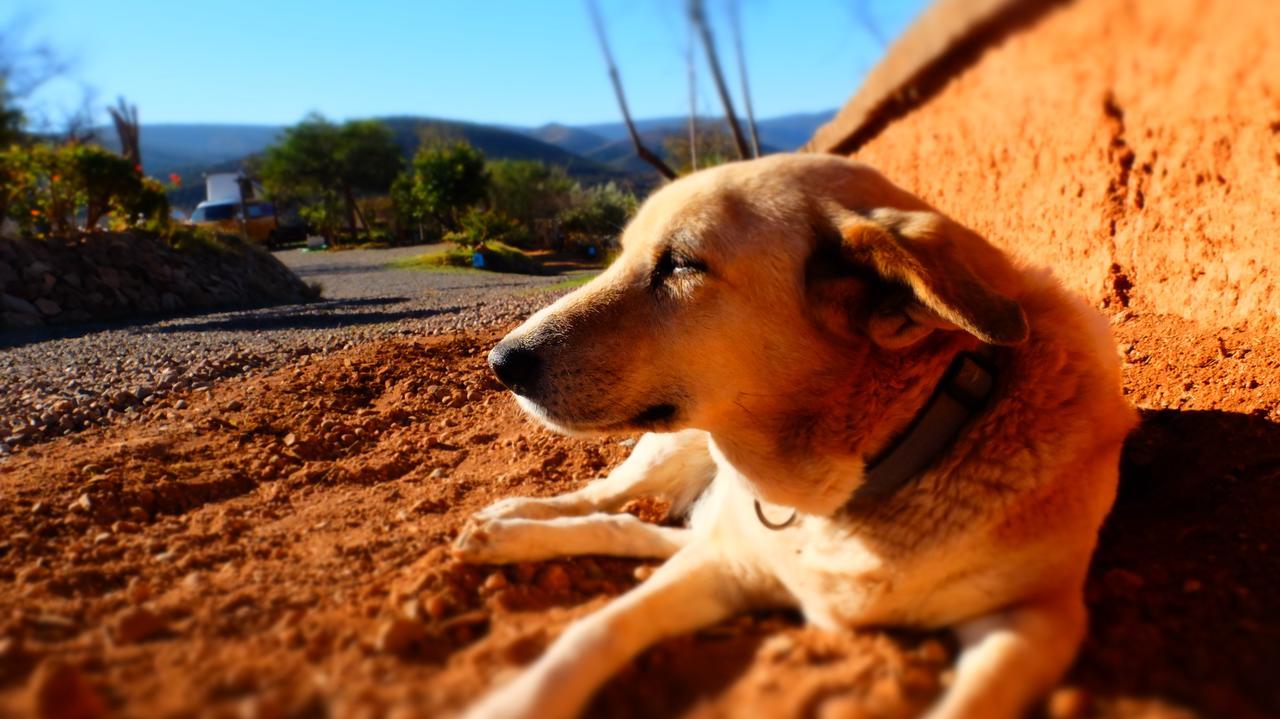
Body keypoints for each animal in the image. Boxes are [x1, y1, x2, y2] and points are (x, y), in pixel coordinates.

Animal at [455, 154, 1136, 711]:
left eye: (681, 264)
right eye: (618, 253)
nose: (500, 363)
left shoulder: (1035, 620)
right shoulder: (722, 564)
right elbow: (595, 629)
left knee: (641, 530)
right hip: (673, 456)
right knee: (602, 499)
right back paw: (507, 524)